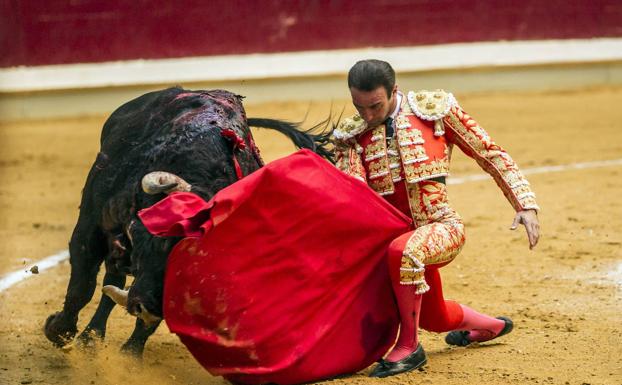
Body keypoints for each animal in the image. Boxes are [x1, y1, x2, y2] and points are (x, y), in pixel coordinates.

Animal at [45, 87, 334, 354]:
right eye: (162, 243)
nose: (147, 307)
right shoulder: (89, 227)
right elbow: (82, 287)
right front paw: (57, 331)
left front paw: (130, 356)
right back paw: (87, 338)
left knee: (113, 281)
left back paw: (91, 339)